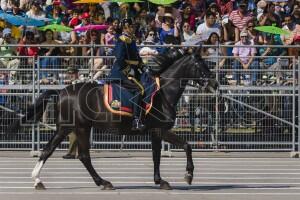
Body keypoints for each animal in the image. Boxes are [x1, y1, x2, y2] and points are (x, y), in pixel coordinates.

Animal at [8, 47, 217, 190]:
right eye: (200, 65)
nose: (214, 84)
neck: (163, 92)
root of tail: (61, 92)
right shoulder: (160, 130)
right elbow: (181, 148)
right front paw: (186, 175)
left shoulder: (156, 132)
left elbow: (163, 153)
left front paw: (163, 180)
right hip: (75, 127)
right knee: (69, 153)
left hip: (73, 128)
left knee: (64, 153)